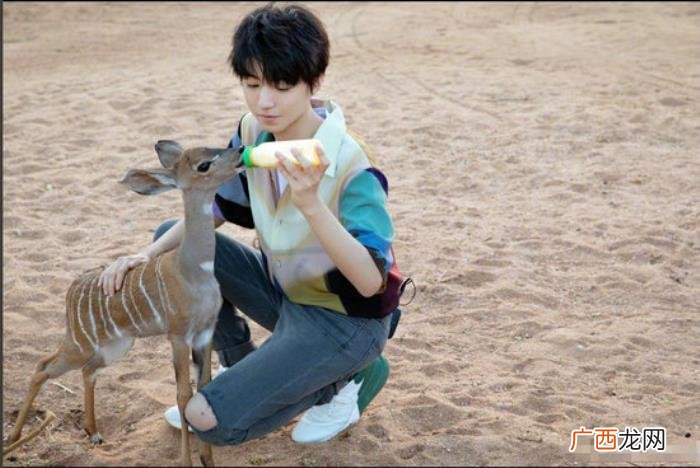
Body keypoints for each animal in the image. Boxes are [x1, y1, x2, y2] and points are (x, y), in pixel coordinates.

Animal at [4, 140, 246, 466]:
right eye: (203, 165)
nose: (240, 151)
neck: (194, 270)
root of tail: (71, 291)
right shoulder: (178, 336)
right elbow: (183, 395)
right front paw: (187, 461)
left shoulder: (205, 335)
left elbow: (202, 390)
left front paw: (208, 460)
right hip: (81, 346)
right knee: (42, 367)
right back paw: (14, 439)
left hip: (114, 346)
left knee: (85, 370)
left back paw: (93, 432)